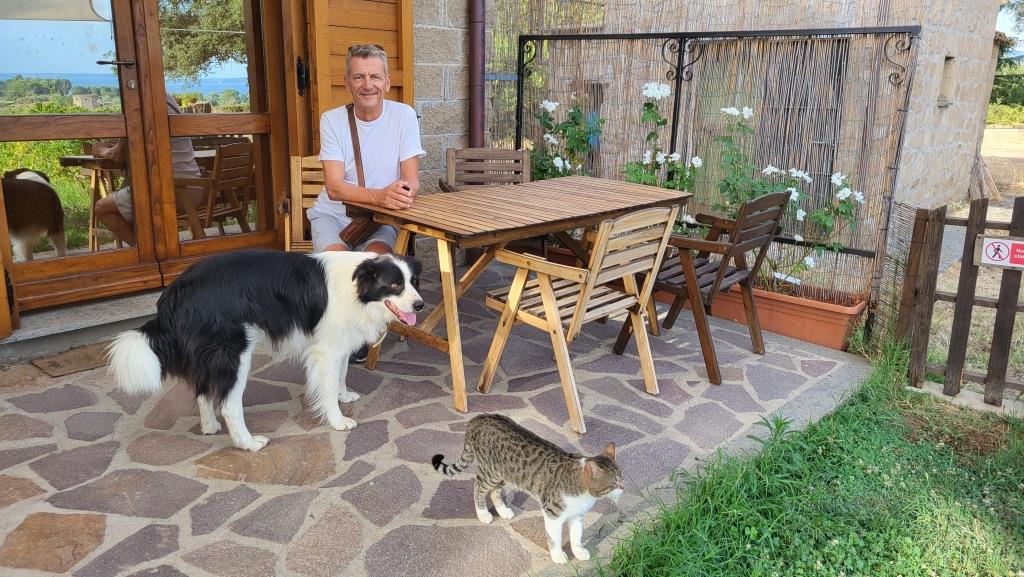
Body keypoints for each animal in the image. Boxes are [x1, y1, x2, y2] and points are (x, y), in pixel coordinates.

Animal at [107, 249, 424, 451]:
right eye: (395, 284)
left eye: (414, 282)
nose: (420, 305)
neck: (359, 287)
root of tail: (176, 289)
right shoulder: (326, 351)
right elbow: (329, 385)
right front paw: (337, 420)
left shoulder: (340, 342)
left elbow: (342, 374)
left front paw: (344, 396)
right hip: (233, 352)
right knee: (229, 404)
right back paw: (248, 443)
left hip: (210, 353)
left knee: (203, 389)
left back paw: (209, 425)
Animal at [432, 413, 624, 564]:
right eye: (614, 483)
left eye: (622, 477)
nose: (624, 487)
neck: (584, 494)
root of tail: (478, 418)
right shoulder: (552, 514)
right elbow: (555, 538)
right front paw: (558, 555)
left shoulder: (577, 515)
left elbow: (576, 535)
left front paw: (578, 551)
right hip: (490, 472)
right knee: (478, 487)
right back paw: (483, 514)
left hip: (503, 473)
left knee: (495, 492)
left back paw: (503, 510)